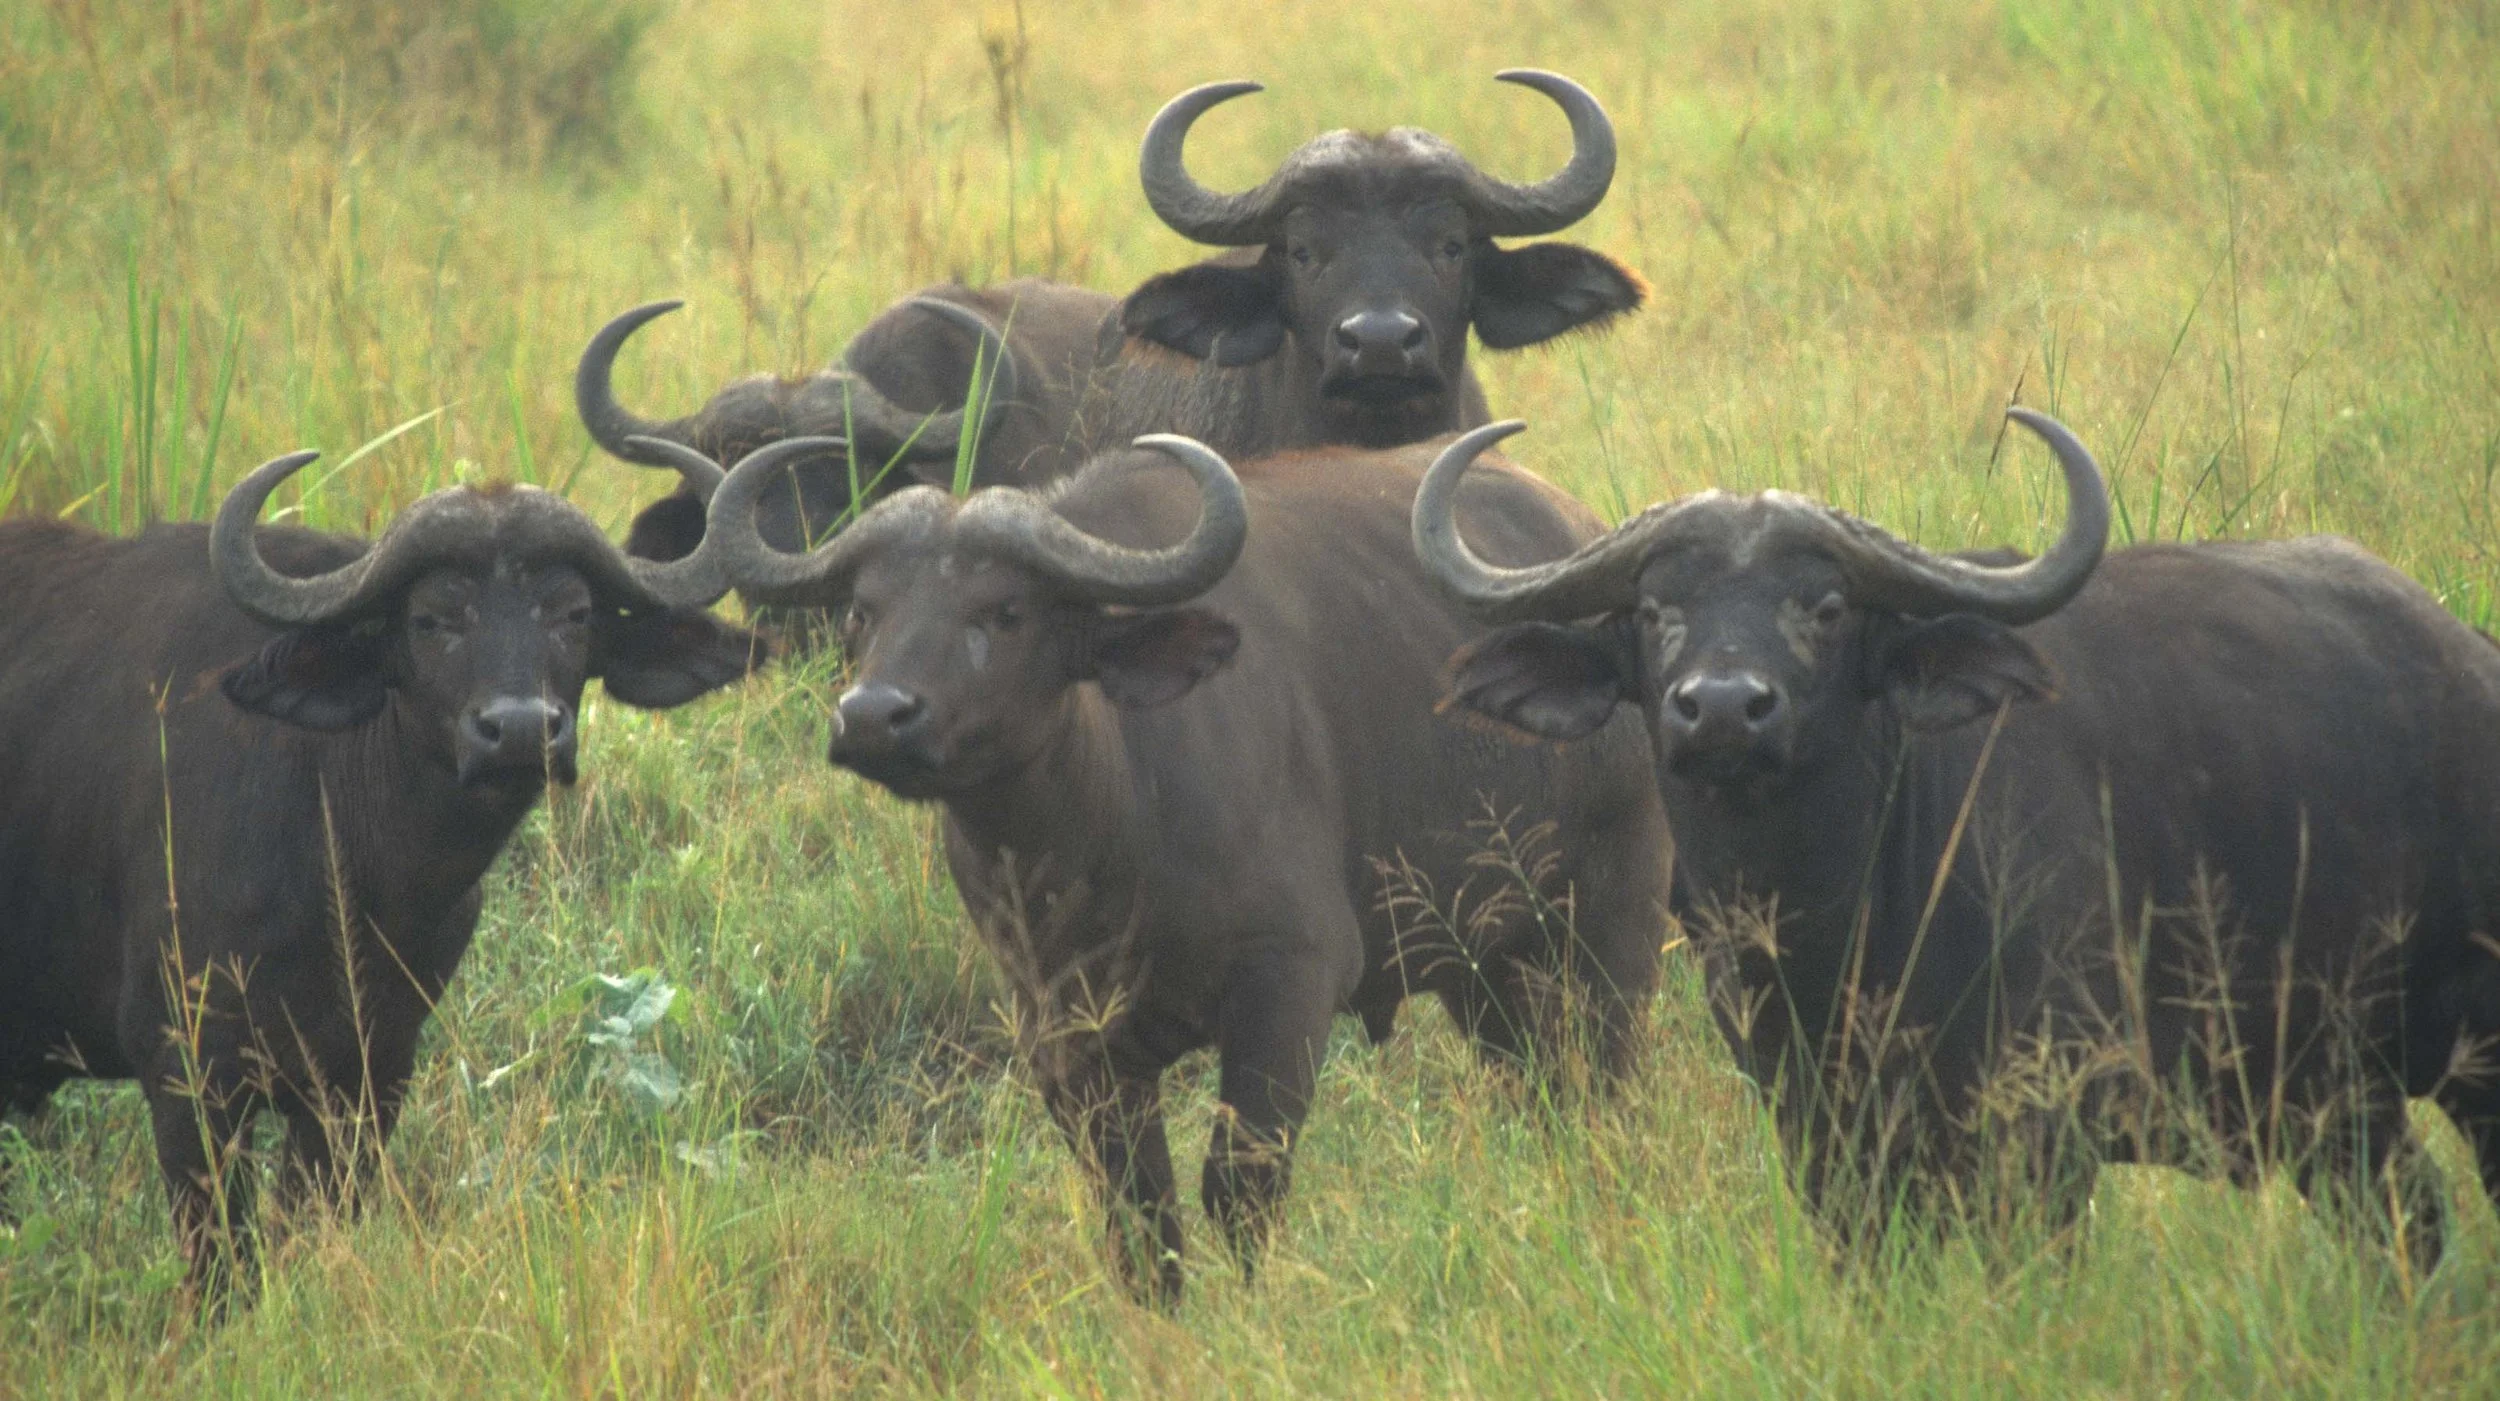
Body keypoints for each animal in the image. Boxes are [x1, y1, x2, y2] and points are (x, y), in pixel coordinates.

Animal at [0, 455, 762, 1296]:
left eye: (576, 612)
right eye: (430, 619)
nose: (519, 730)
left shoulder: (370, 1074)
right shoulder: (187, 1071)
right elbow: (222, 1267)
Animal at [688, 430, 1674, 1301]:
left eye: (1005, 609)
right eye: (865, 609)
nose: (872, 716)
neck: (1102, 841)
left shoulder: (1290, 983)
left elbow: (1239, 1186)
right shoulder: (1065, 1039)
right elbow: (1137, 1215)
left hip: (1614, 924)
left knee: (1603, 1085)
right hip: (1481, 967)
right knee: (1539, 1092)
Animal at [1415, 410, 2500, 1267]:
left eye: (1827, 606)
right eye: (1652, 609)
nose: (1722, 708)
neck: (1832, 928)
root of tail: (2462, 655)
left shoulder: (2042, 1133)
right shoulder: (1824, 1140)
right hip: (2341, 1102)